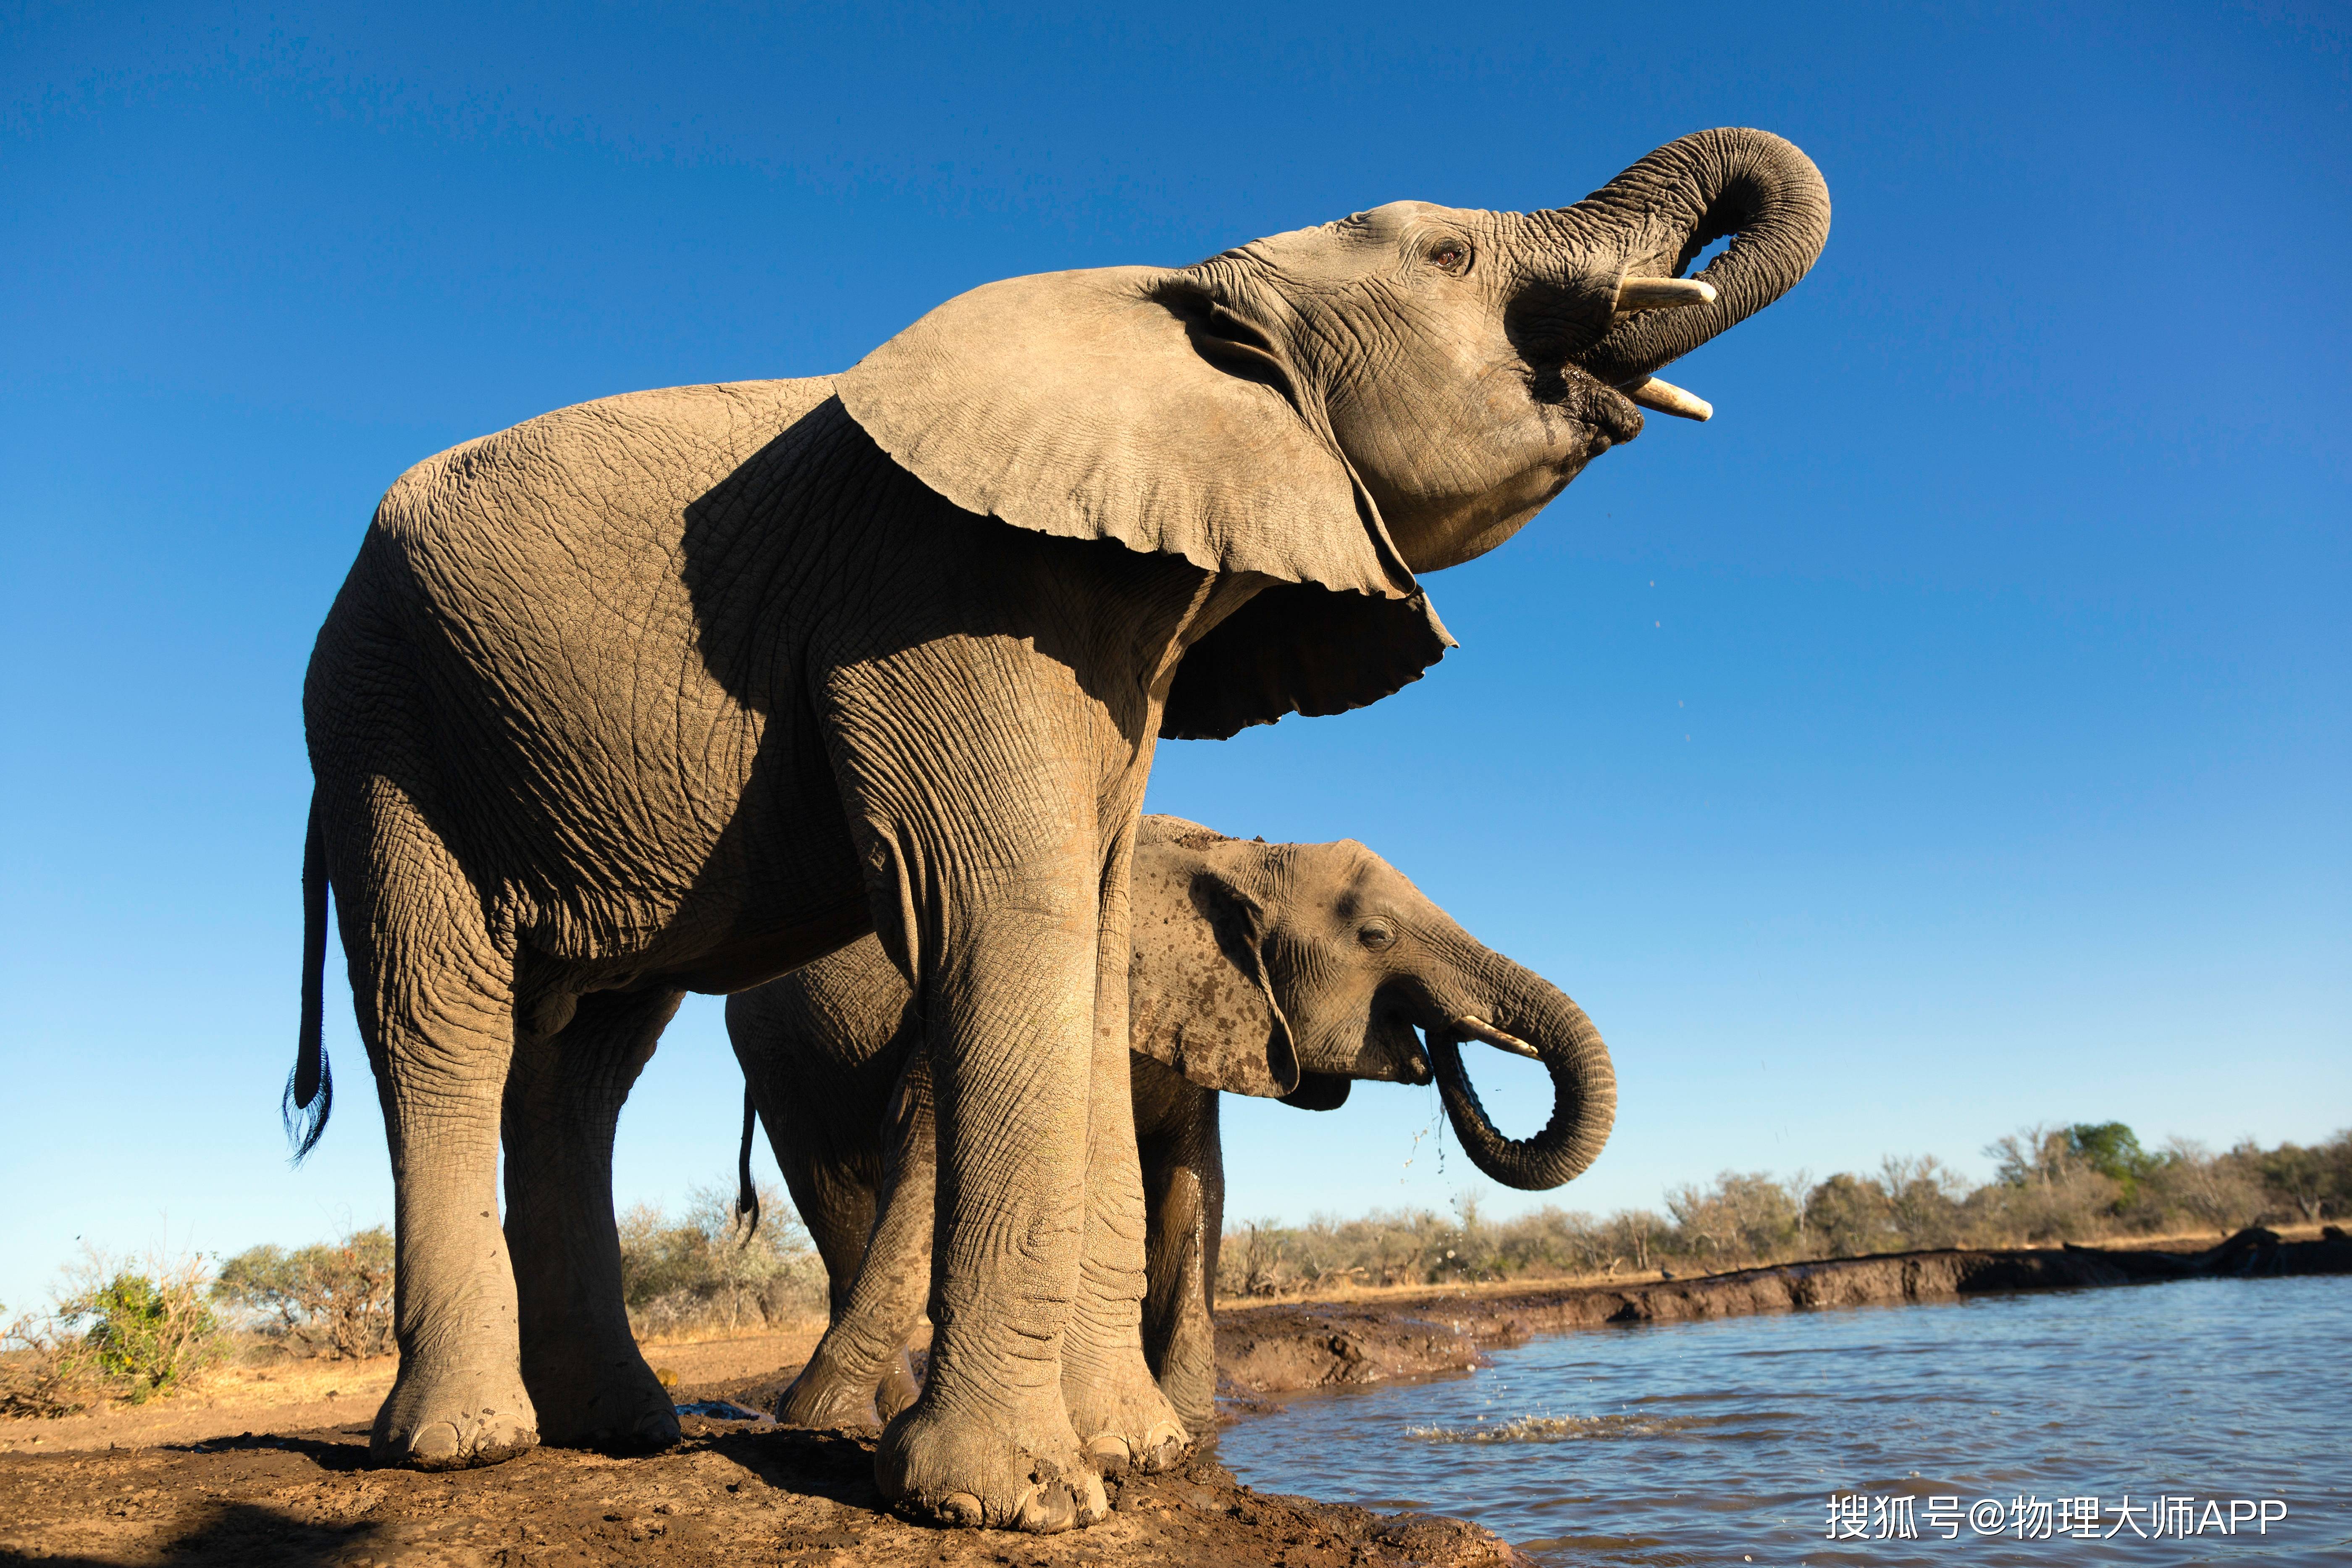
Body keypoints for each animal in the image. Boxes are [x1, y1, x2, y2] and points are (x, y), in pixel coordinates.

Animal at [734, 822, 1618, 1448]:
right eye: (1375, 937)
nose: (1441, 1043)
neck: (1237, 853)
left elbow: (1195, 1187)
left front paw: (1190, 1431)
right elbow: (924, 1141)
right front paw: (818, 1421)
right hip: (779, 1059)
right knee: (836, 1200)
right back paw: (856, 1420)